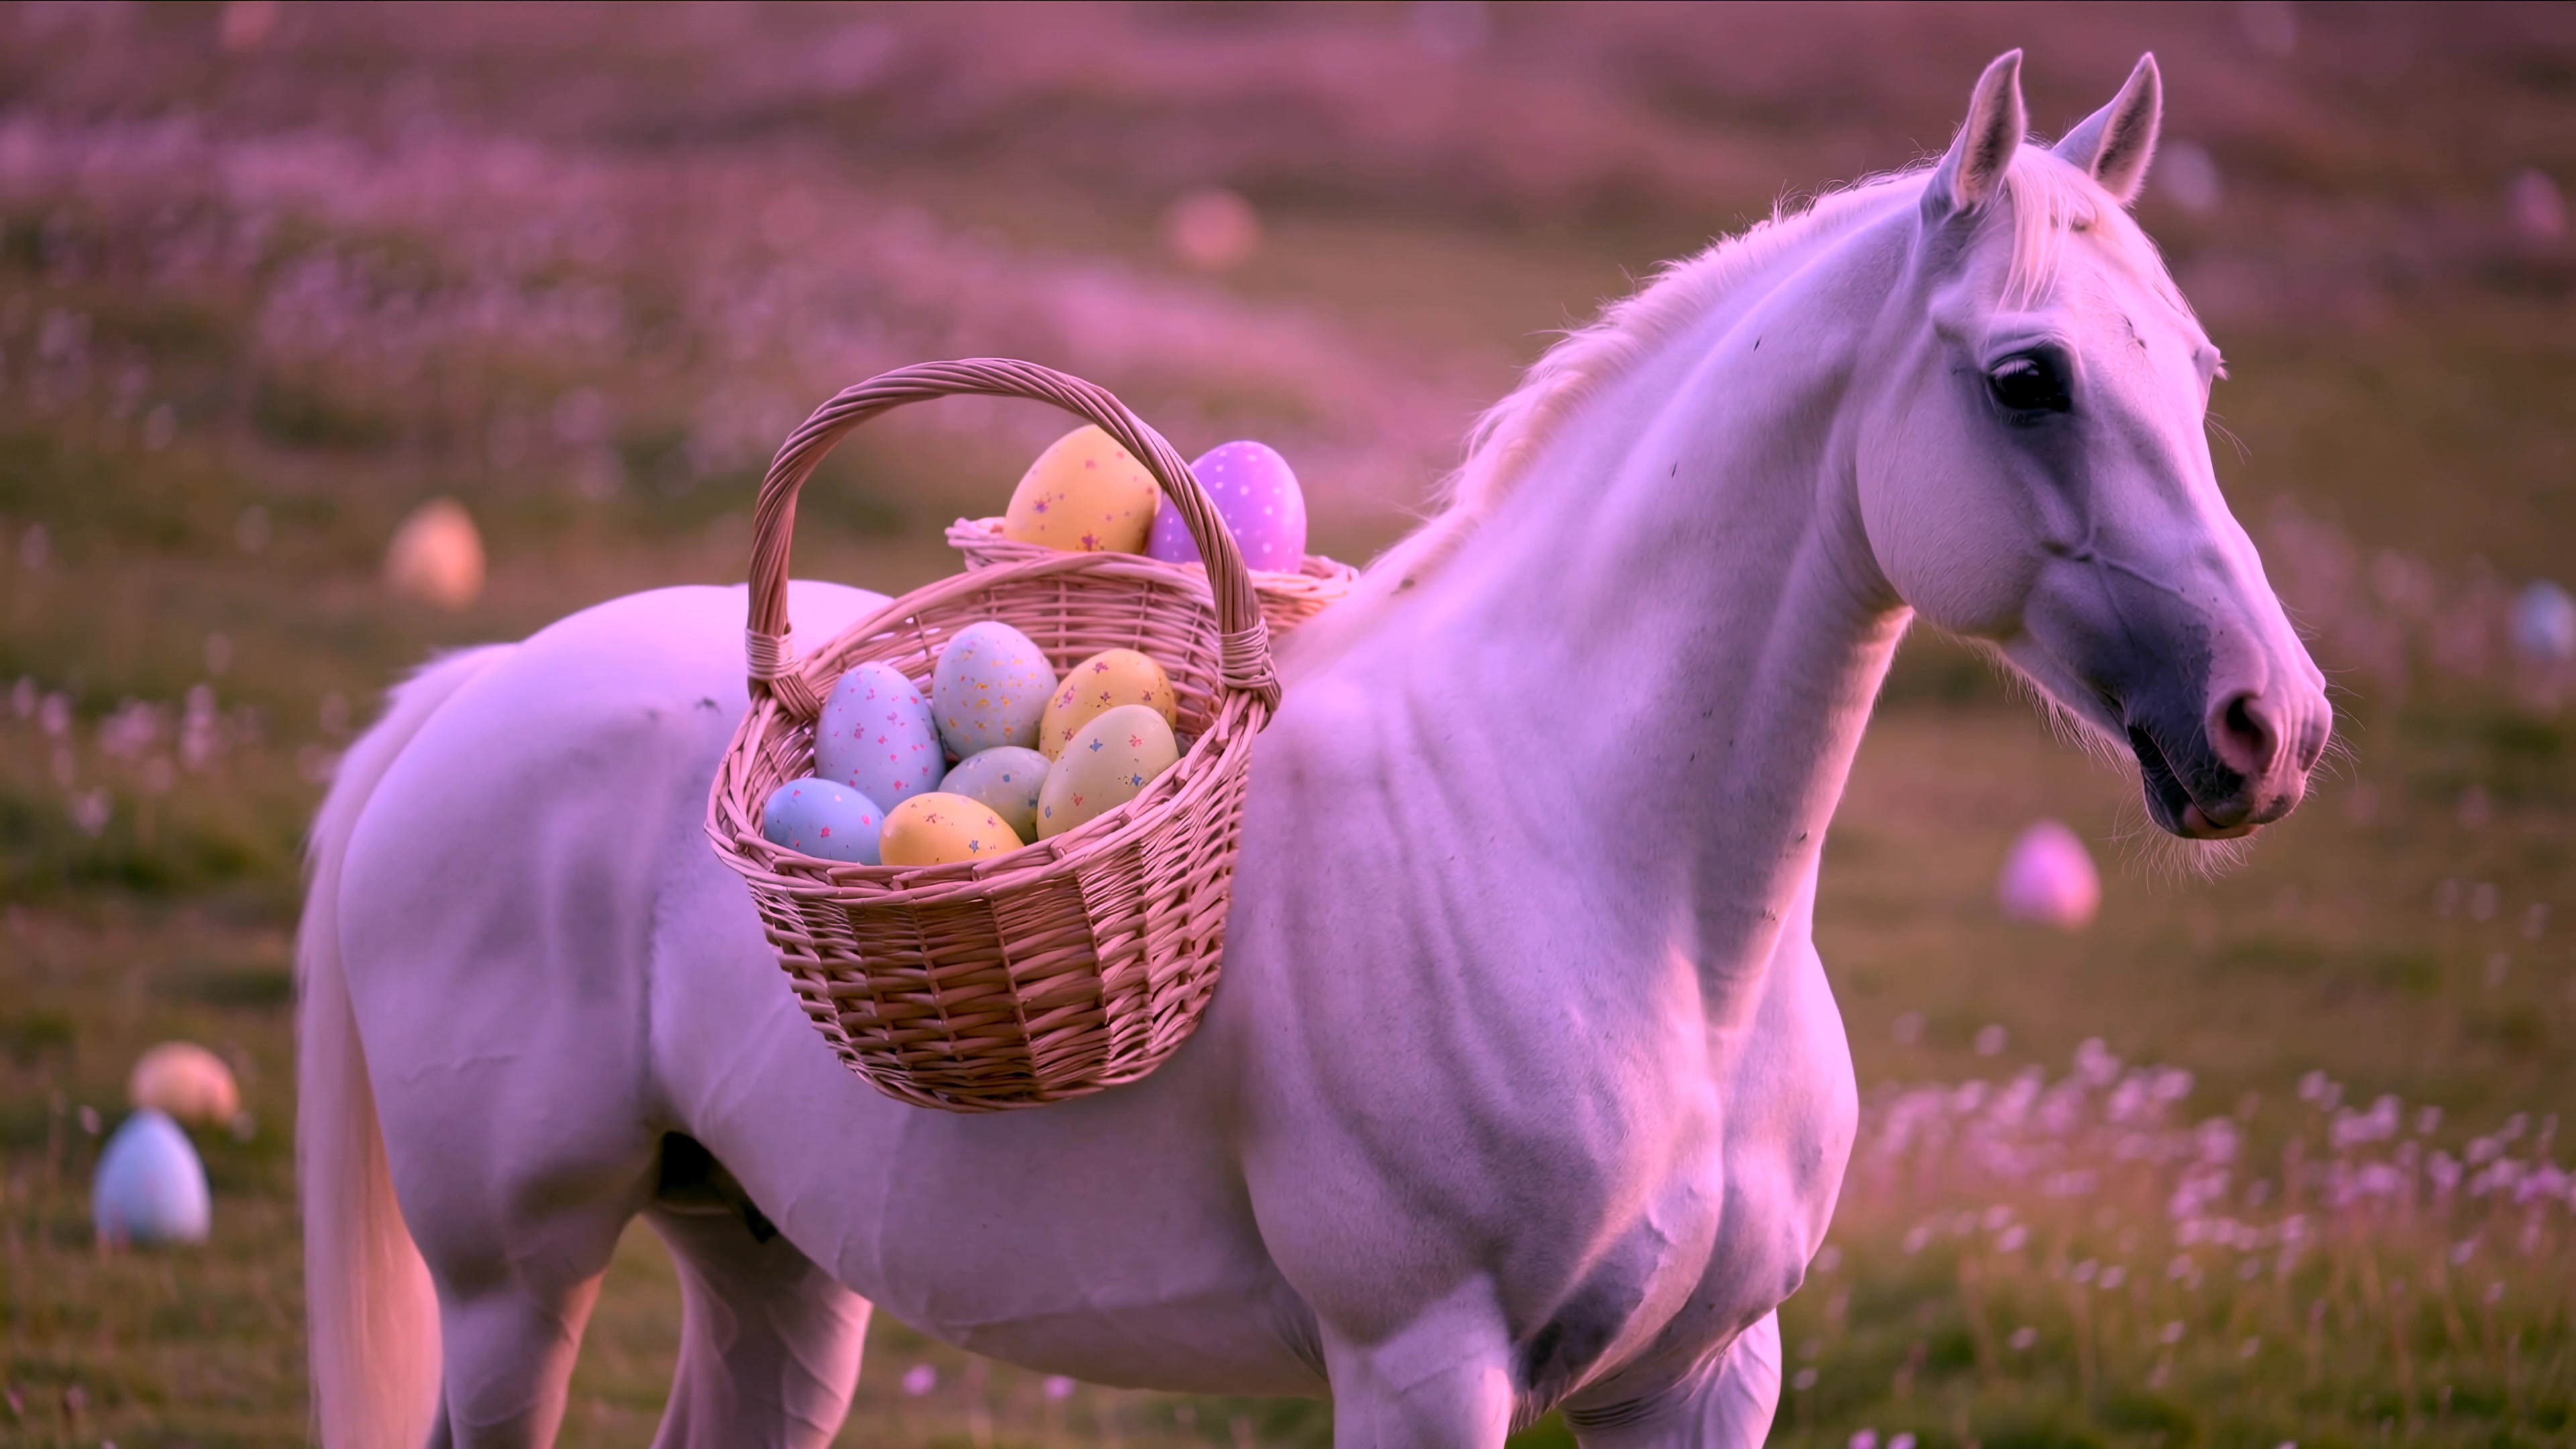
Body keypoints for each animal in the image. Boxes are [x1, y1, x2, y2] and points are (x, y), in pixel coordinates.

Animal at [299, 51, 2331, 1448]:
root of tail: (467, 690)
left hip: (762, 1262)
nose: (2267, 724)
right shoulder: (1424, 1370)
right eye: (2026, 379)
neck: (1617, 889)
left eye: (2200, 371)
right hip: (517, 1284)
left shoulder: (1705, 1379)